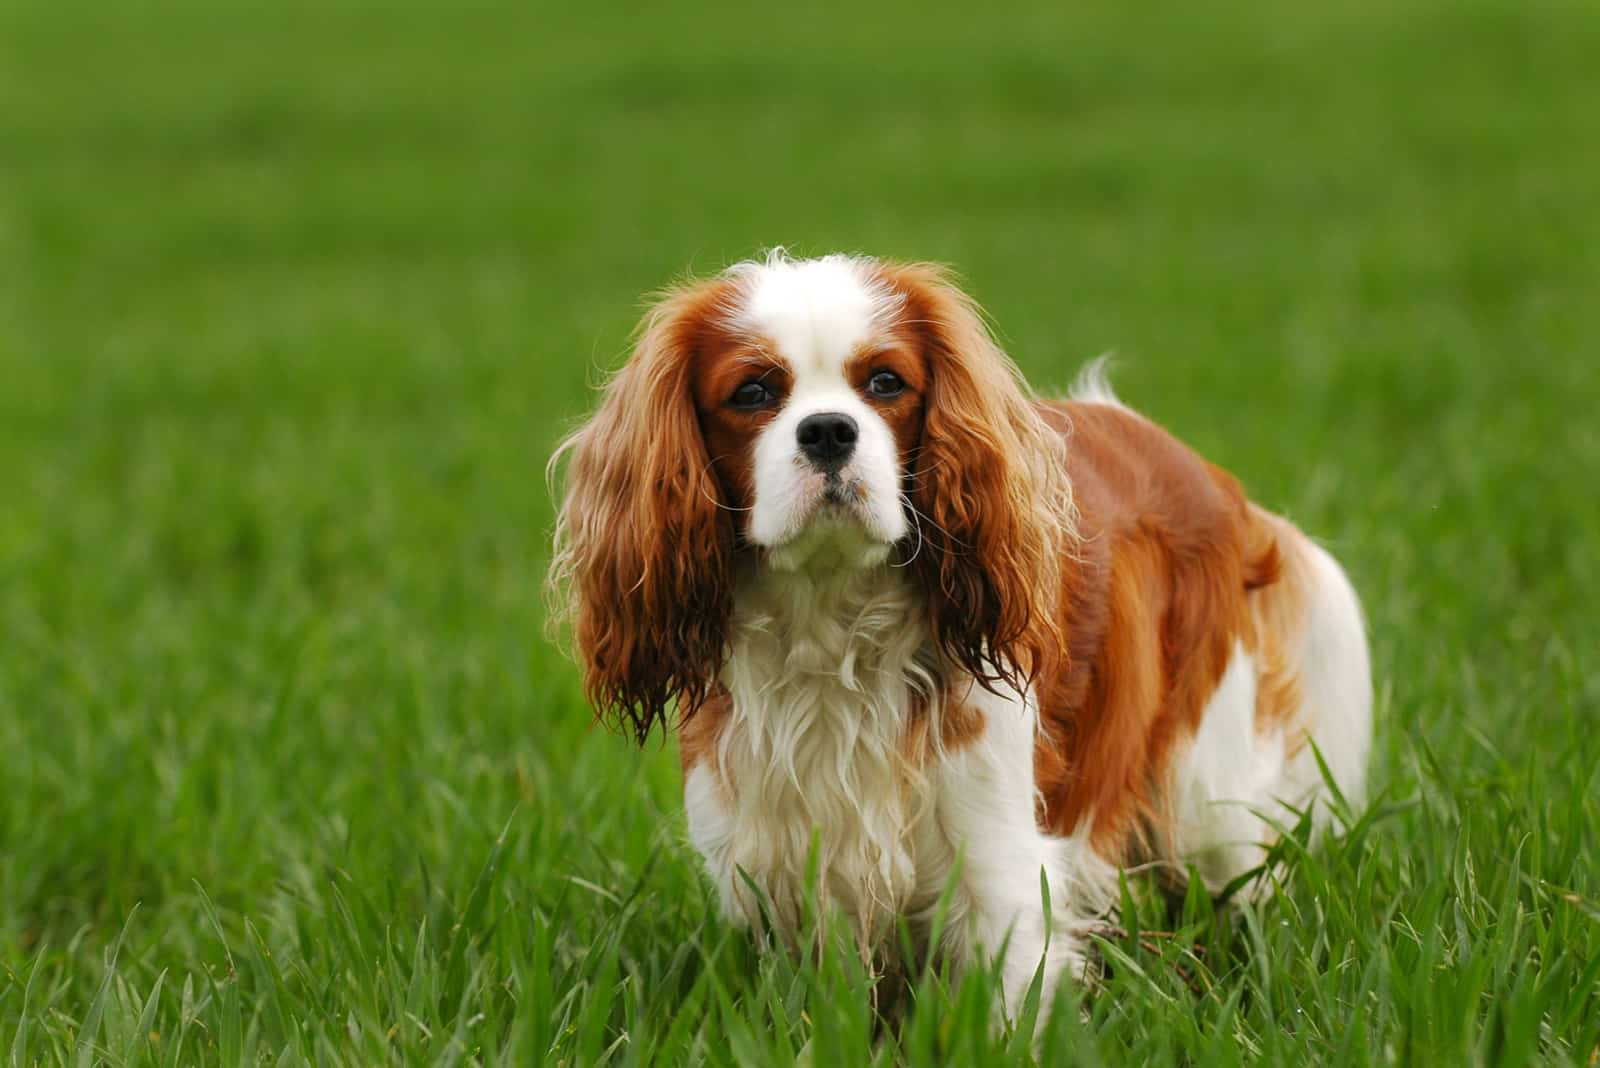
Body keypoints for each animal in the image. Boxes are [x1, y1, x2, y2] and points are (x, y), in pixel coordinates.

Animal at [544, 252, 1369, 1016]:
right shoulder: (792, 878)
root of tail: (1200, 468)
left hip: (1206, 796)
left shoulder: (998, 872)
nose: (828, 431)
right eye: (751, 393)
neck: (830, 629)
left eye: (885, 383)